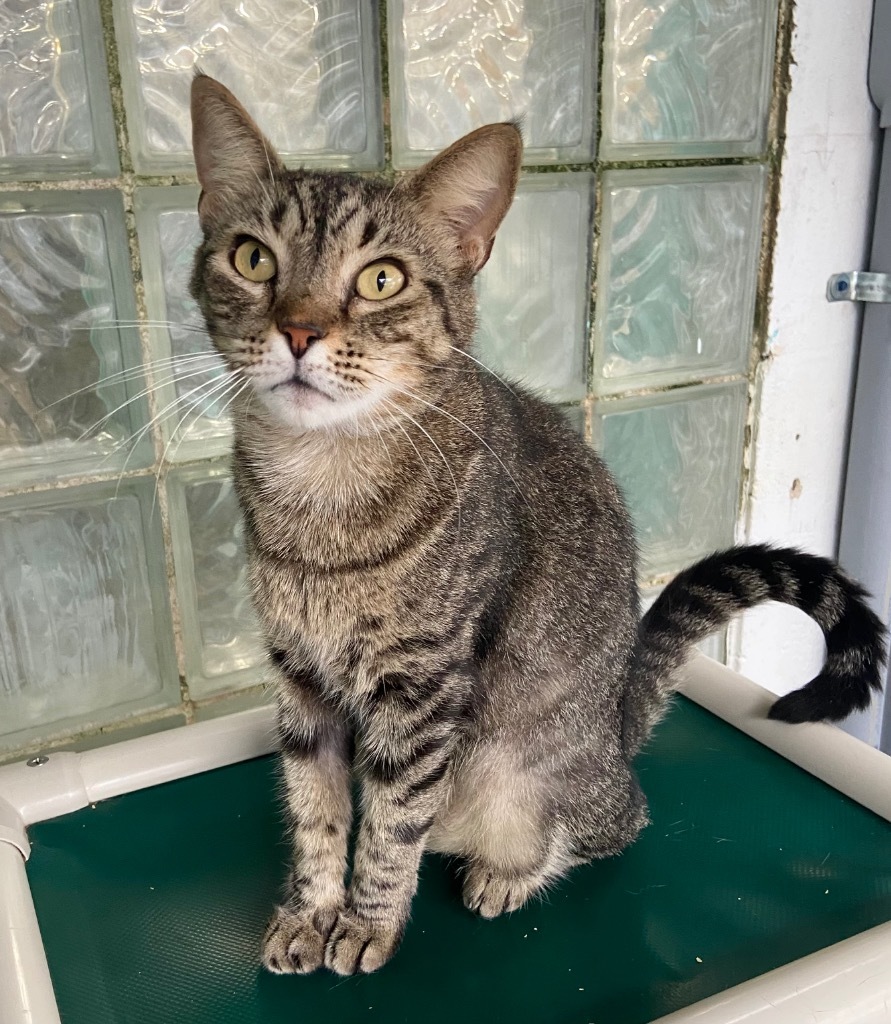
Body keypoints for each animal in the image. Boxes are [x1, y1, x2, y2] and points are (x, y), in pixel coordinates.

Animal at [188, 74, 884, 974]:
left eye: (380, 280)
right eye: (253, 258)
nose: (299, 330)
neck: (318, 485)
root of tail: (615, 727)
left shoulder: (422, 689)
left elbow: (391, 823)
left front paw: (368, 922)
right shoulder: (299, 681)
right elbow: (316, 808)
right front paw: (313, 910)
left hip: (521, 772)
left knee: (615, 826)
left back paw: (509, 871)